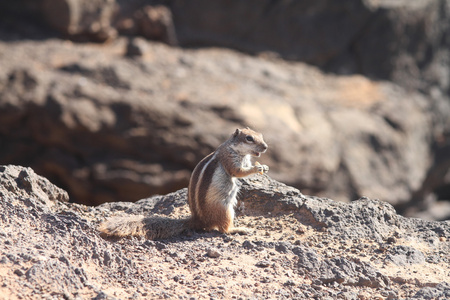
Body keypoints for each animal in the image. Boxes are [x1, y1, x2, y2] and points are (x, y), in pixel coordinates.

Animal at [99, 127, 268, 240]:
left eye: (260, 135)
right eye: (249, 138)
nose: (266, 147)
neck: (235, 150)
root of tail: (198, 220)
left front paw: (264, 167)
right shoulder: (229, 159)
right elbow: (238, 172)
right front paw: (257, 168)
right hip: (224, 209)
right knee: (222, 229)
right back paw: (238, 229)